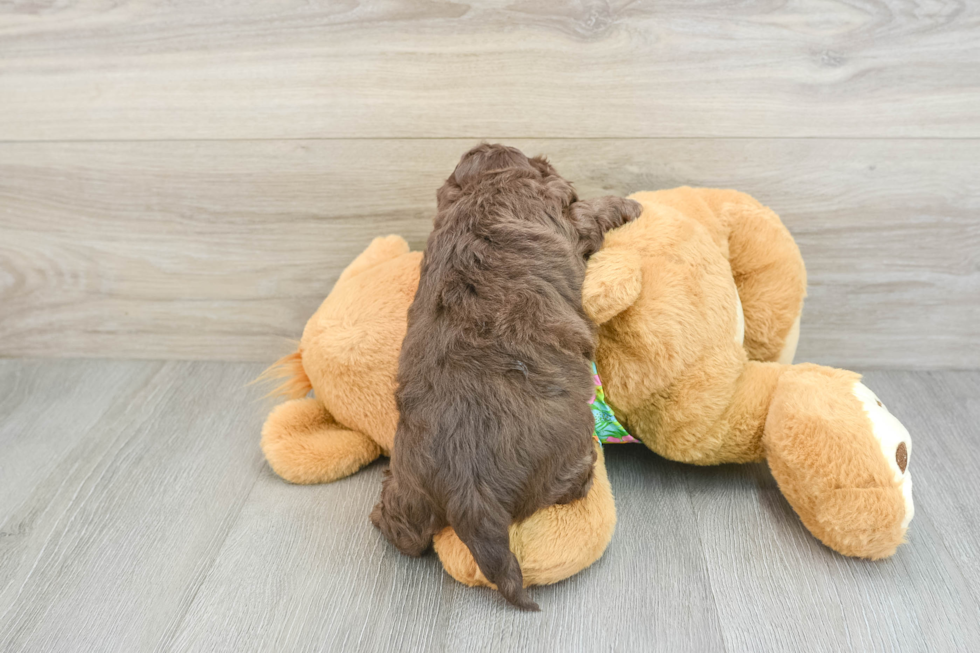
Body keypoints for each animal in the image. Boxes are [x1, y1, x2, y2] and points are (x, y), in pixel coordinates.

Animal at [372, 145, 640, 608]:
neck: (487, 187)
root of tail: (470, 496)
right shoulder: (572, 220)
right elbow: (592, 211)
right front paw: (628, 205)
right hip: (568, 450)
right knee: (571, 479)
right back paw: (586, 479)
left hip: (412, 487)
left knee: (405, 532)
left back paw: (380, 512)